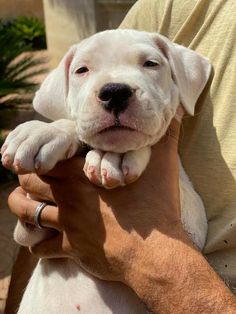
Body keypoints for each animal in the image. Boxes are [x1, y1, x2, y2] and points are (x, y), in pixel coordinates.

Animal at [0, 30, 210, 314]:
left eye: (151, 64)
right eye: (81, 70)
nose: (115, 92)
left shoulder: (192, 222)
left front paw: (114, 157)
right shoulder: (30, 230)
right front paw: (44, 131)